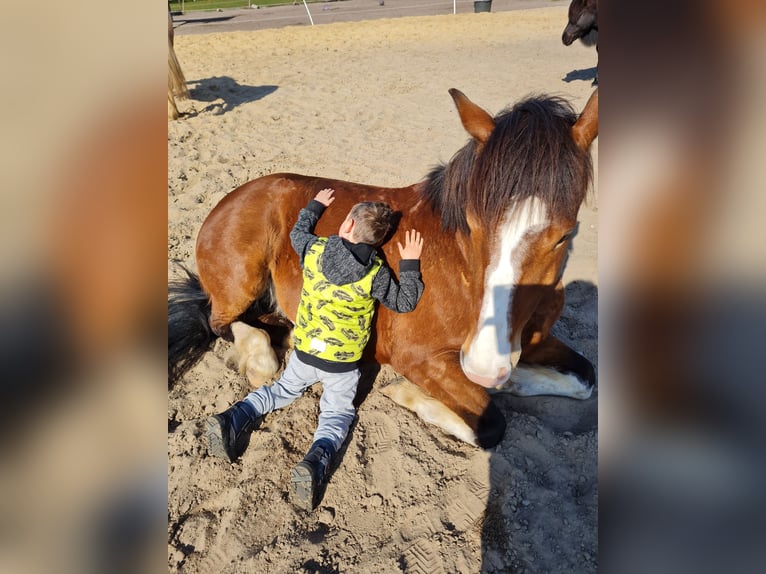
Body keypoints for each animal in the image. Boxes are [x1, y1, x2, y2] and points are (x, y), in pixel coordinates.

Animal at [170, 89, 600, 450]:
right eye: (473, 224)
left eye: (564, 235)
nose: (484, 365)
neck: (461, 267)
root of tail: (233, 197)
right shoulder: (419, 358)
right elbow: (490, 425)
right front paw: (411, 394)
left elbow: (586, 376)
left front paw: (510, 381)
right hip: (243, 282)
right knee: (221, 323)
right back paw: (260, 359)